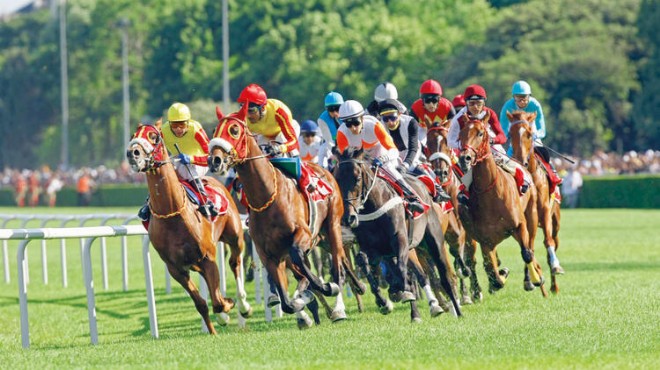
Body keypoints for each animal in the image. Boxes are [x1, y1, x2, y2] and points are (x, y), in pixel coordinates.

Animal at [126, 121, 253, 336]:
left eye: (153, 136)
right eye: (133, 135)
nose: (132, 153)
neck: (172, 212)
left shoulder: (208, 258)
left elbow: (217, 301)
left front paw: (227, 308)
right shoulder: (176, 269)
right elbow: (202, 303)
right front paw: (216, 326)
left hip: (235, 236)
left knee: (235, 263)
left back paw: (244, 305)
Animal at [206, 104, 364, 324]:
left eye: (234, 130)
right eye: (214, 131)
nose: (215, 160)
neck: (267, 197)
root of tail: (325, 171)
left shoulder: (303, 234)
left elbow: (300, 259)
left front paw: (324, 287)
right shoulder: (268, 254)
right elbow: (287, 301)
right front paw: (301, 301)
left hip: (331, 225)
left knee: (338, 266)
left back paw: (339, 305)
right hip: (318, 238)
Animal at [426, 121, 482, 304]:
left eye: (446, 142)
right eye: (428, 143)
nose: (440, 173)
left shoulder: (462, 232)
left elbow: (461, 258)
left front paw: (465, 292)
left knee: (471, 258)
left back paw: (475, 291)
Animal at [454, 112, 548, 294]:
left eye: (480, 133)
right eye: (460, 135)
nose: (465, 158)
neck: (490, 194)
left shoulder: (520, 225)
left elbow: (526, 253)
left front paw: (535, 279)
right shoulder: (485, 240)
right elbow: (493, 274)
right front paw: (501, 275)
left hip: (532, 217)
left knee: (531, 247)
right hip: (470, 235)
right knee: (476, 261)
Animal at [508, 111, 564, 294]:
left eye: (529, 133)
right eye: (510, 134)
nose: (520, 160)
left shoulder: (544, 209)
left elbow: (547, 242)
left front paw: (555, 266)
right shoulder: (523, 216)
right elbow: (528, 247)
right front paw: (529, 280)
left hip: (555, 221)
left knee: (553, 240)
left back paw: (554, 284)